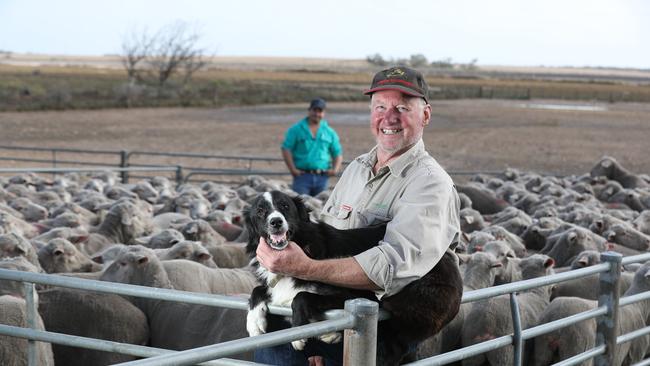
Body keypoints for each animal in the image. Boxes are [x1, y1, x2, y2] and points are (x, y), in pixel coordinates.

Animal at [243, 190, 460, 364]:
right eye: (260, 212)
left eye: (285, 206)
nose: (276, 222)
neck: (303, 243)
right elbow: (257, 290)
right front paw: (253, 321)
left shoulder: (349, 294)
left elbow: (301, 296)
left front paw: (302, 335)